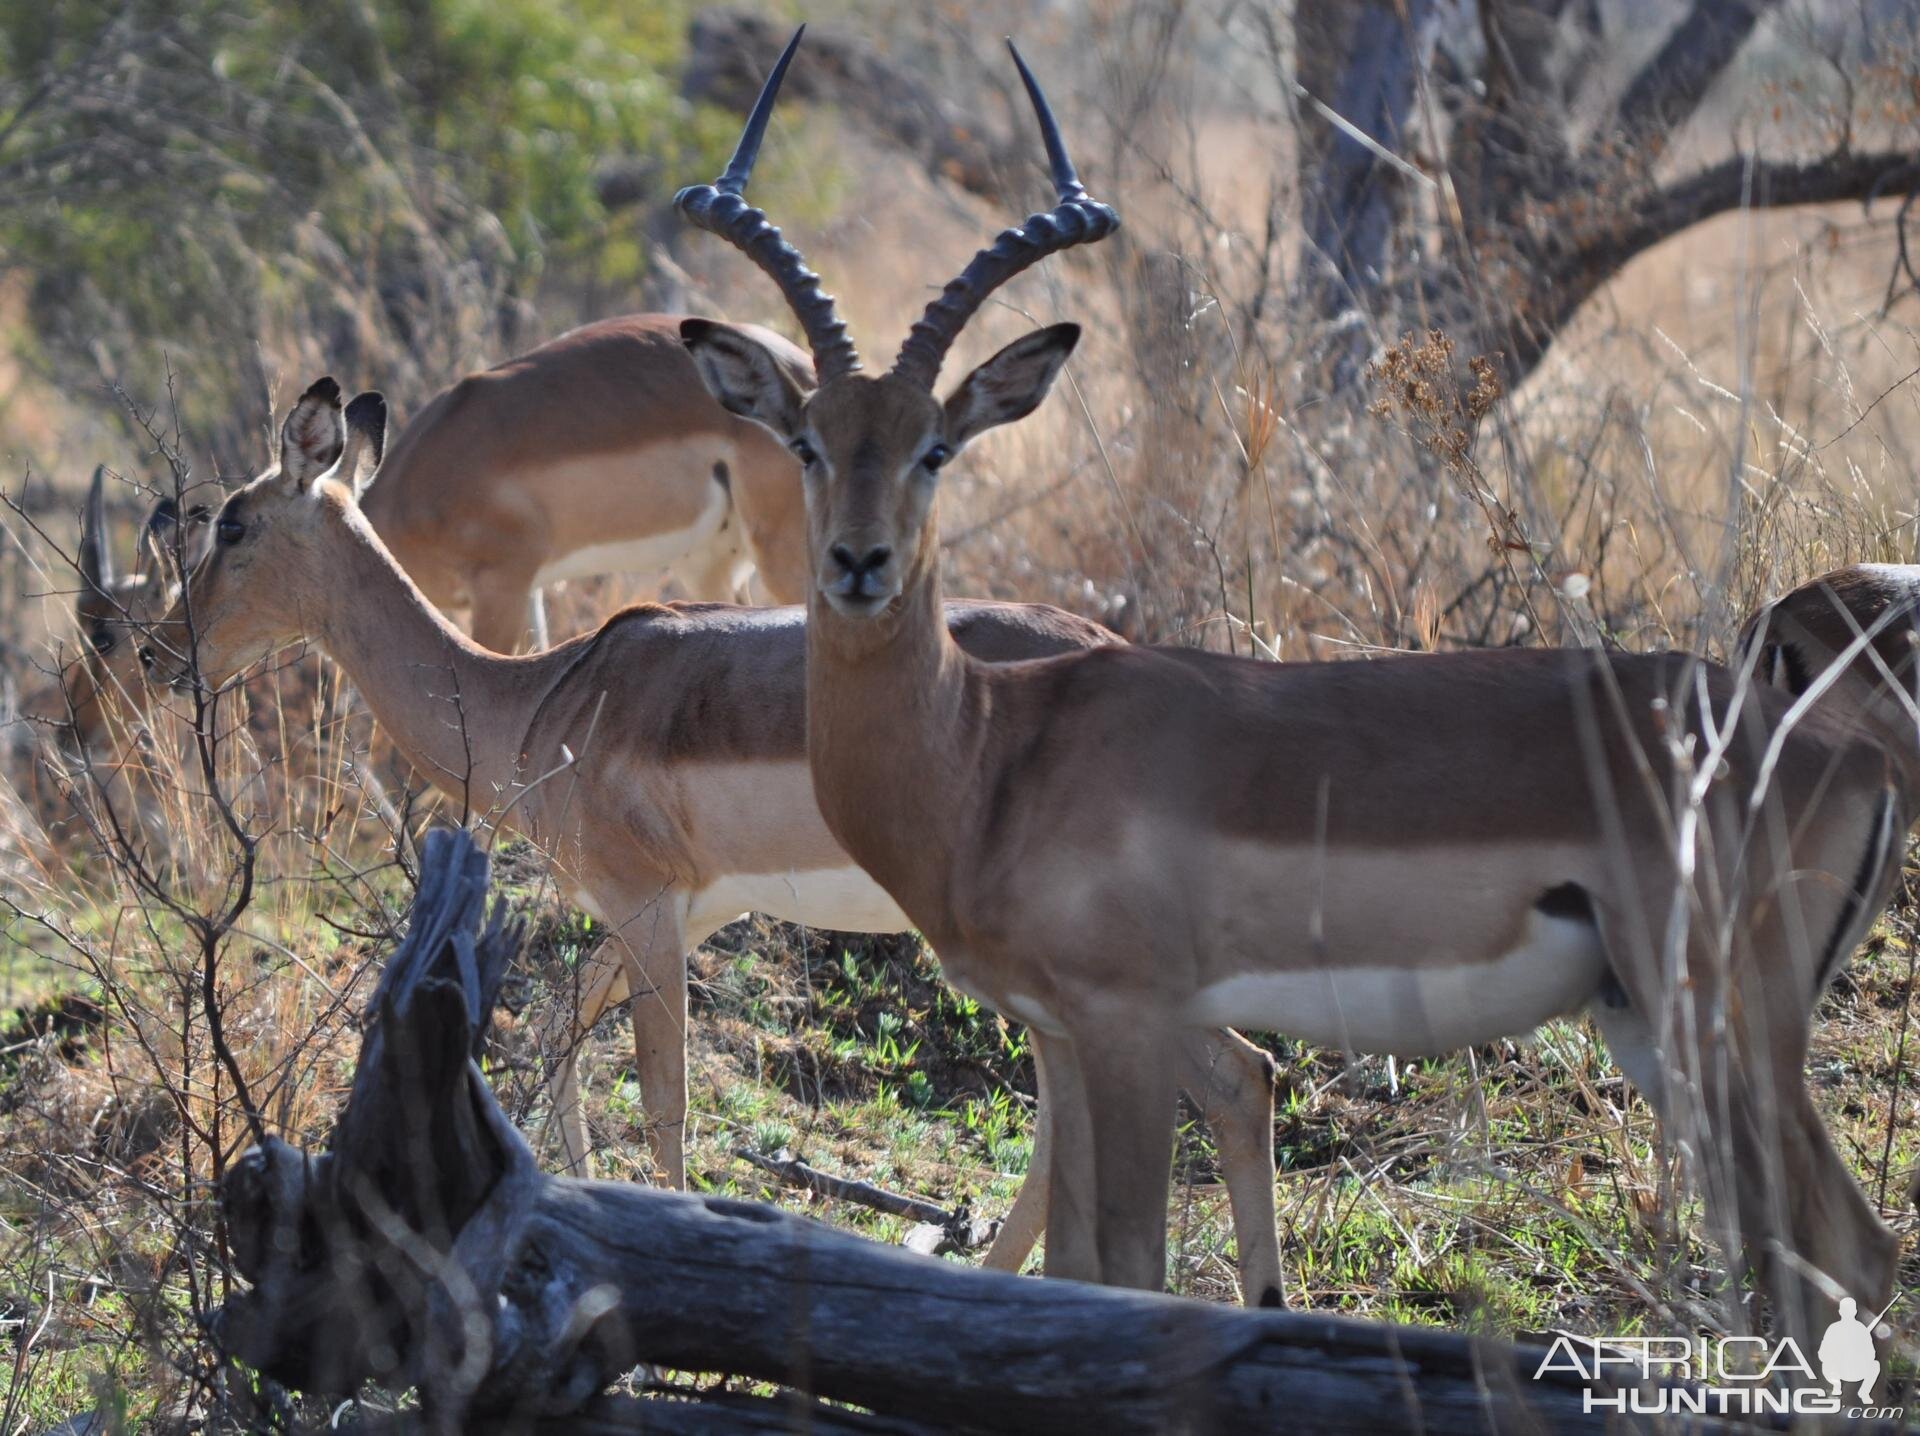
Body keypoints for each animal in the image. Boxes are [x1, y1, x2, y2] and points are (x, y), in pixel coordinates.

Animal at [145, 376, 1290, 1305]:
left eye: (234, 525)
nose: (159, 651)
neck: (541, 704)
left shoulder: (648, 908)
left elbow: (664, 1098)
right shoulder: (684, 912)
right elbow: (559, 1025)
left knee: (1227, 1081)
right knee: (1163, 1101)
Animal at [675, 28, 1904, 1343]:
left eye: (935, 449)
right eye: (809, 441)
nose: (858, 564)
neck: (993, 757)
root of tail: (1850, 754)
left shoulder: (1126, 1021)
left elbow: (1132, 1266)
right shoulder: (1058, 1029)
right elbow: (1077, 1266)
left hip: (1729, 1023)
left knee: (1853, 1247)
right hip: (1652, 1027)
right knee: (1802, 1254)